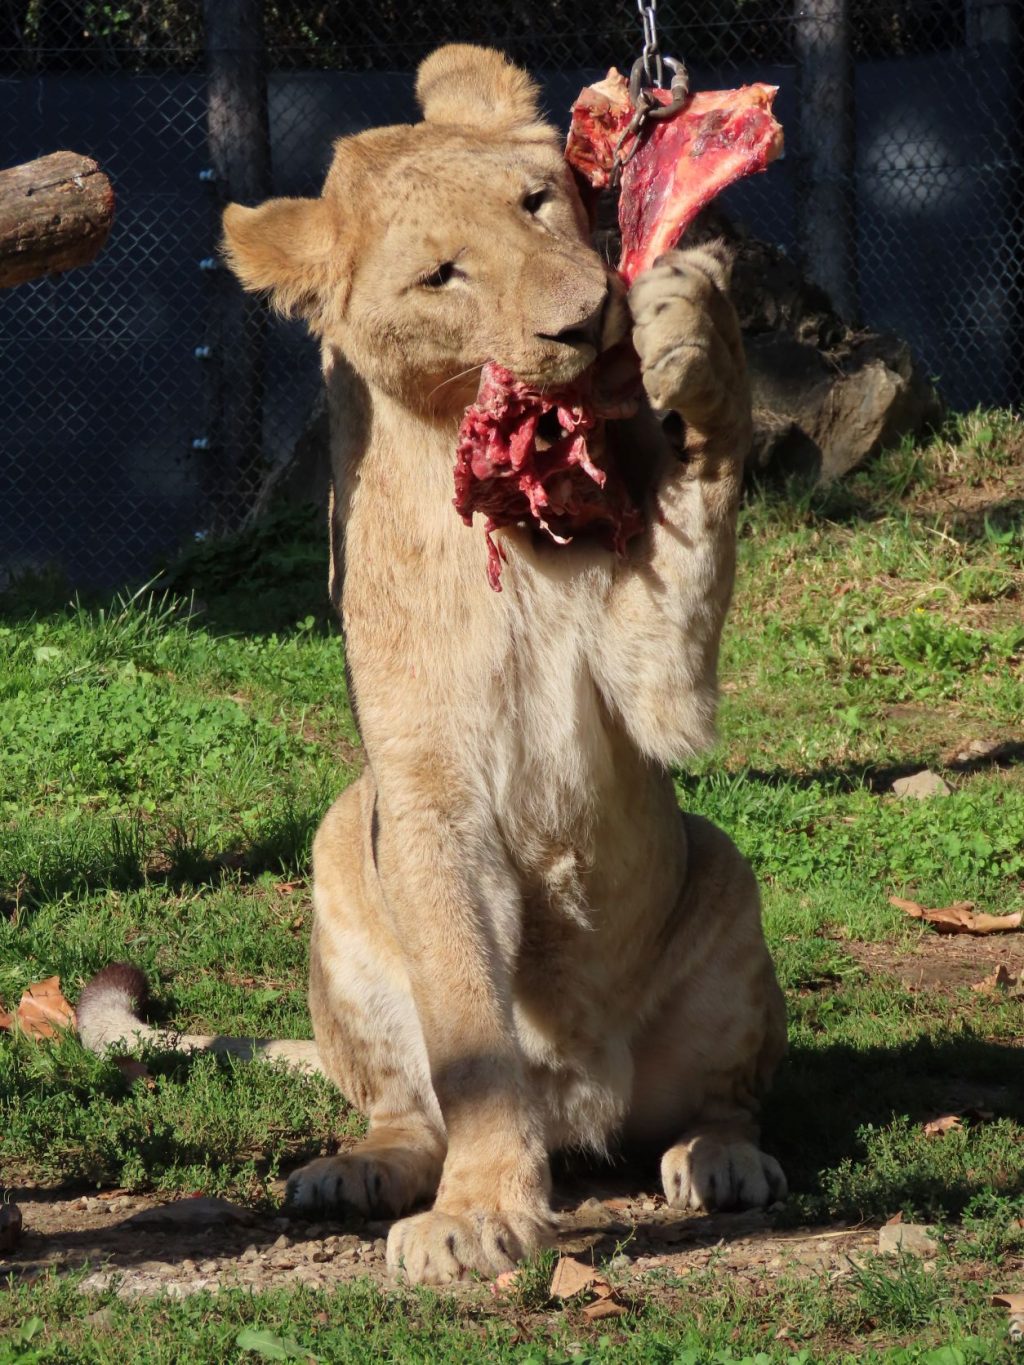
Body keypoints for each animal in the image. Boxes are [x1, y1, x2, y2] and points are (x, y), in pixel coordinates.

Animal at [80, 42, 791, 1277]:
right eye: (441, 276)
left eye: (537, 202)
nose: (586, 320)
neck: (508, 520)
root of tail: (584, 1106)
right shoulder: (426, 788)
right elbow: (467, 1018)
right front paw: (480, 1211)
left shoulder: (660, 683)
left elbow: (692, 538)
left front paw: (693, 335)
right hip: (339, 848)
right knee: (405, 1104)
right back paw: (358, 1169)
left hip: (726, 874)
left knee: (725, 1100)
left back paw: (719, 1161)